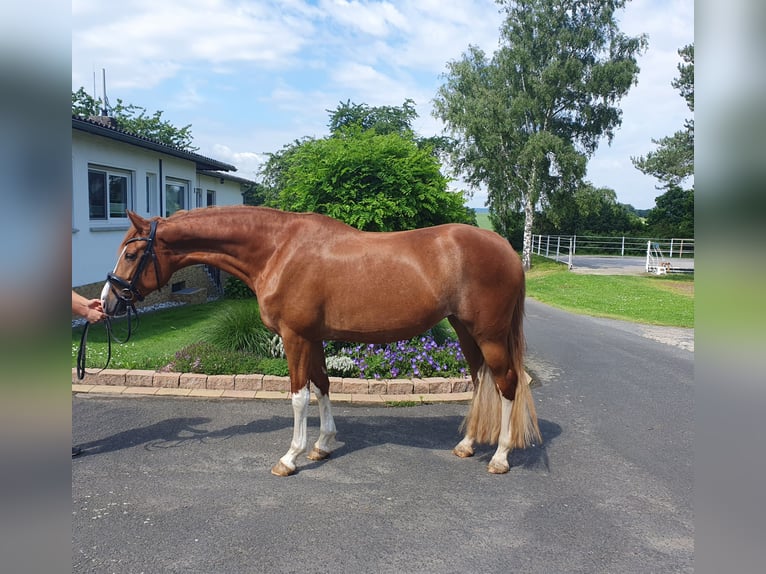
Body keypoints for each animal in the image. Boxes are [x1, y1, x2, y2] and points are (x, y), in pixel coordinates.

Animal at [102, 207, 544, 476]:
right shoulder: (312, 338)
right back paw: (467, 445)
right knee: (481, 379)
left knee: (507, 384)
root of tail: (506, 248)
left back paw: (500, 457)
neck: (278, 250)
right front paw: (323, 445)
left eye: (131, 254)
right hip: (465, 331)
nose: (107, 302)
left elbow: (298, 396)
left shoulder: (295, 337)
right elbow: (321, 387)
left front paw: (290, 457)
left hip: (488, 334)